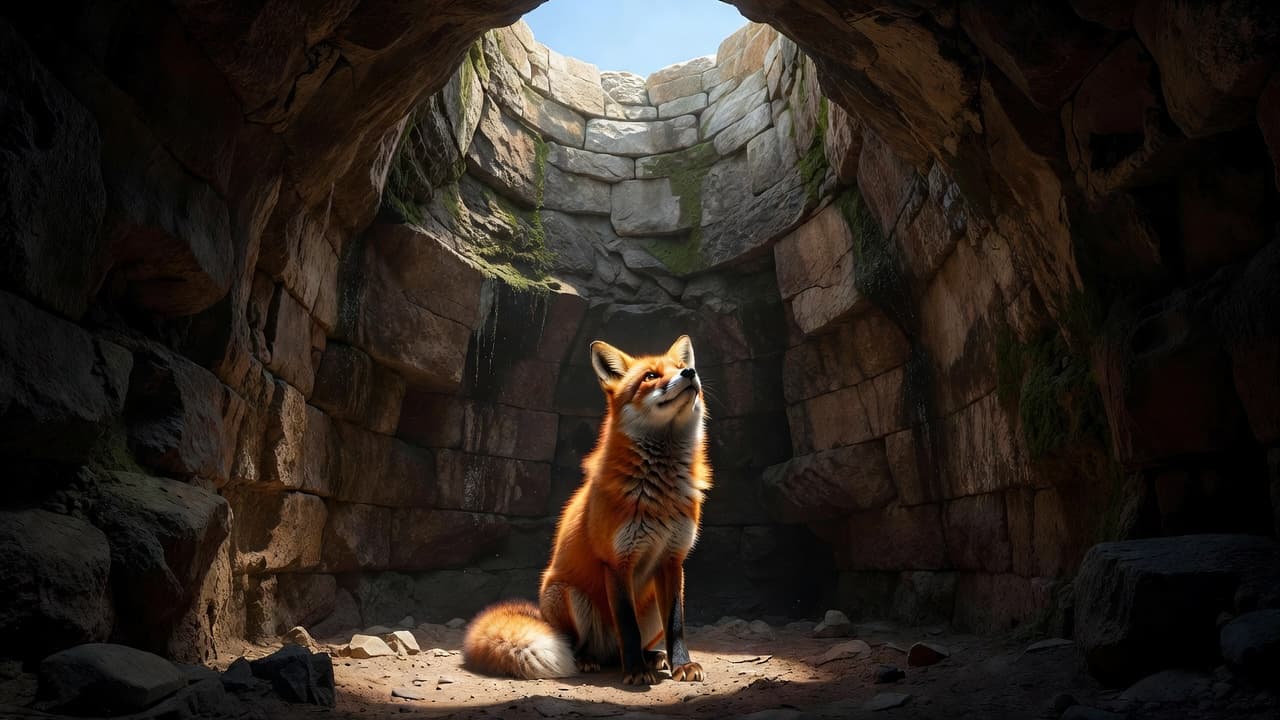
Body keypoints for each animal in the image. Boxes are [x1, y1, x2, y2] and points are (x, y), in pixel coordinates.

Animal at [463, 335, 711, 685]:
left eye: (679, 367)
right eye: (650, 376)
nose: (690, 373)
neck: (658, 494)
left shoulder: (673, 560)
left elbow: (676, 625)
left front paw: (682, 665)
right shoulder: (617, 561)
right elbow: (627, 625)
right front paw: (636, 672)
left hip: (649, 606)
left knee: (627, 646)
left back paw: (650, 657)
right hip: (567, 594)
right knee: (581, 644)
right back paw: (593, 660)